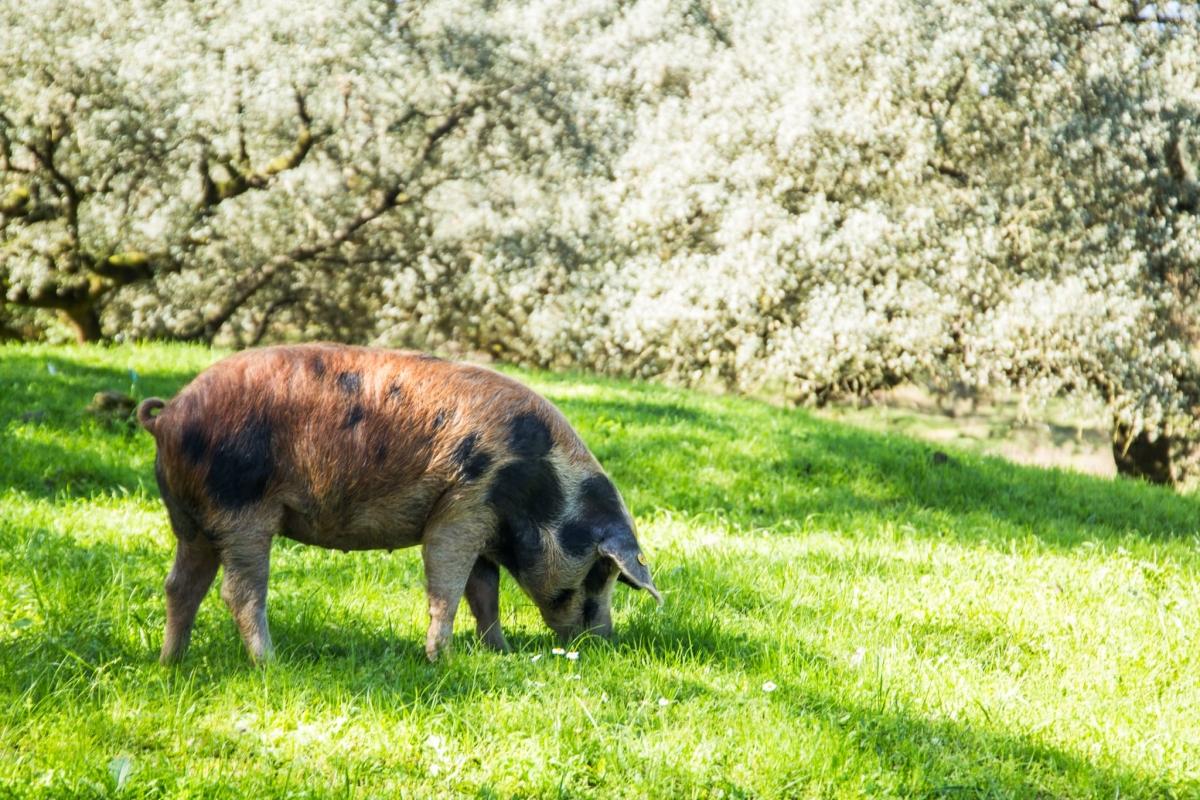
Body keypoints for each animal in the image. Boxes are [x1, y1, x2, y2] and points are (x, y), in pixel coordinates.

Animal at [137, 343, 661, 664]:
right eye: (599, 572)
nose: (606, 640)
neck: (538, 486)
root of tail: (168, 417)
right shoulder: (463, 504)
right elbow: (447, 582)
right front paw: (442, 659)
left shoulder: (483, 523)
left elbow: (483, 593)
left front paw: (499, 651)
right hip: (240, 510)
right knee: (238, 591)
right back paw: (271, 662)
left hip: (190, 519)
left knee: (180, 586)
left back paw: (171, 663)